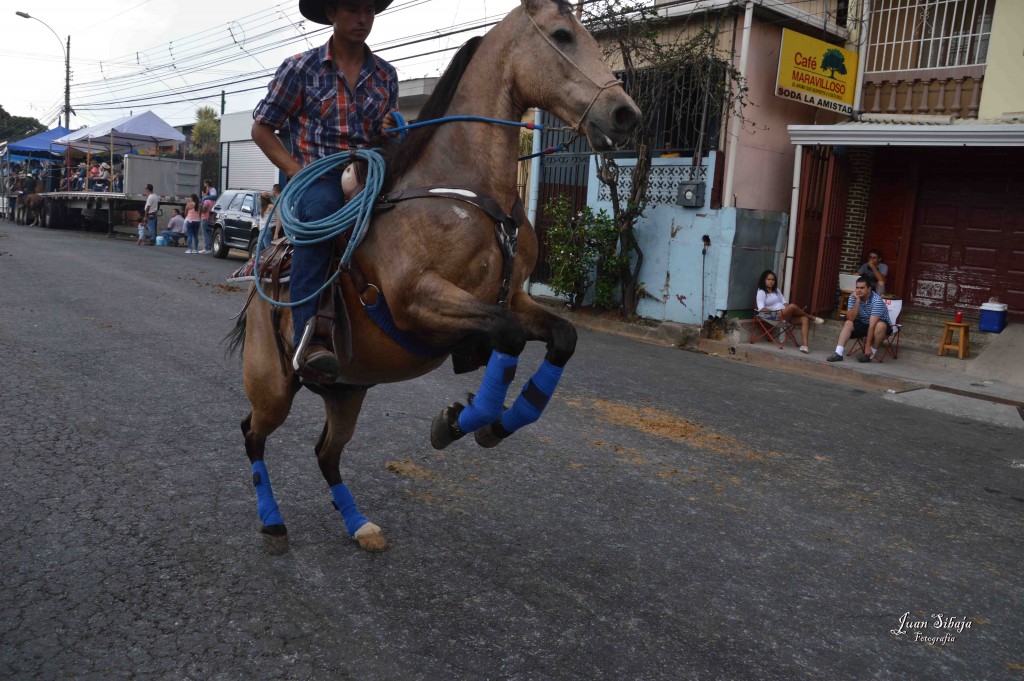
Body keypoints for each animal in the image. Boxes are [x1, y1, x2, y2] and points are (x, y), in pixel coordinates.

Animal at [232, 1, 638, 552]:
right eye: (562, 35)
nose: (624, 113)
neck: (469, 195)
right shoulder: (418, 300)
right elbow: (508, 337)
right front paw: (455, 422)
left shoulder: (511, 299)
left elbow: (561, 336)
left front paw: (489, 426)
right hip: (272, 385)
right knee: (252, 432)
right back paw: (272, 519)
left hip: (348, 390)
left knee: (326, 453)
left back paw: (359, 525)